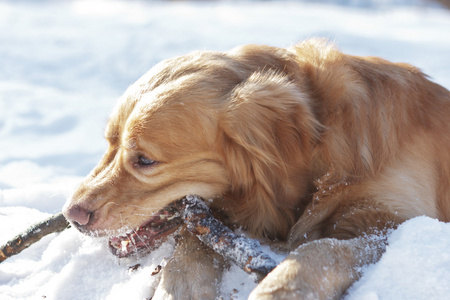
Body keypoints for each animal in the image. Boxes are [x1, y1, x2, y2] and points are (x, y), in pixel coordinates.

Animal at [63, 39, 450, 298]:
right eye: (109, 143)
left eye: (145, 160)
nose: (72, 215)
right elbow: (192, 243)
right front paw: (180, 286)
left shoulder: (390, 222)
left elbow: (320, 249)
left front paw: (280, 288)